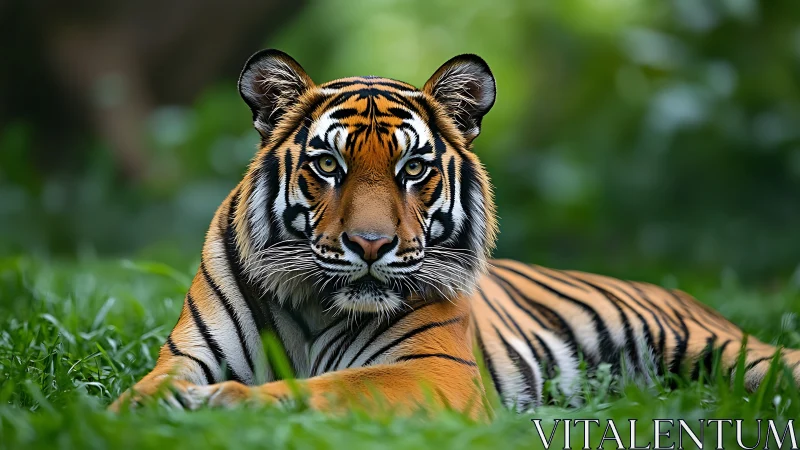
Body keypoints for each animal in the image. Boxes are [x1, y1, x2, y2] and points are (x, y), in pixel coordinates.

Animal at [110, 49, 800, 417]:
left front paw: (225, 403)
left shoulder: (431, 370)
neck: (313, 301)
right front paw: (122, 414)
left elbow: (325, 387)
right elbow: (144, 390)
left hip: (731, 353)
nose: (370, 246)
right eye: (328, 165)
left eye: (412, 169)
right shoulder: (185, 358)